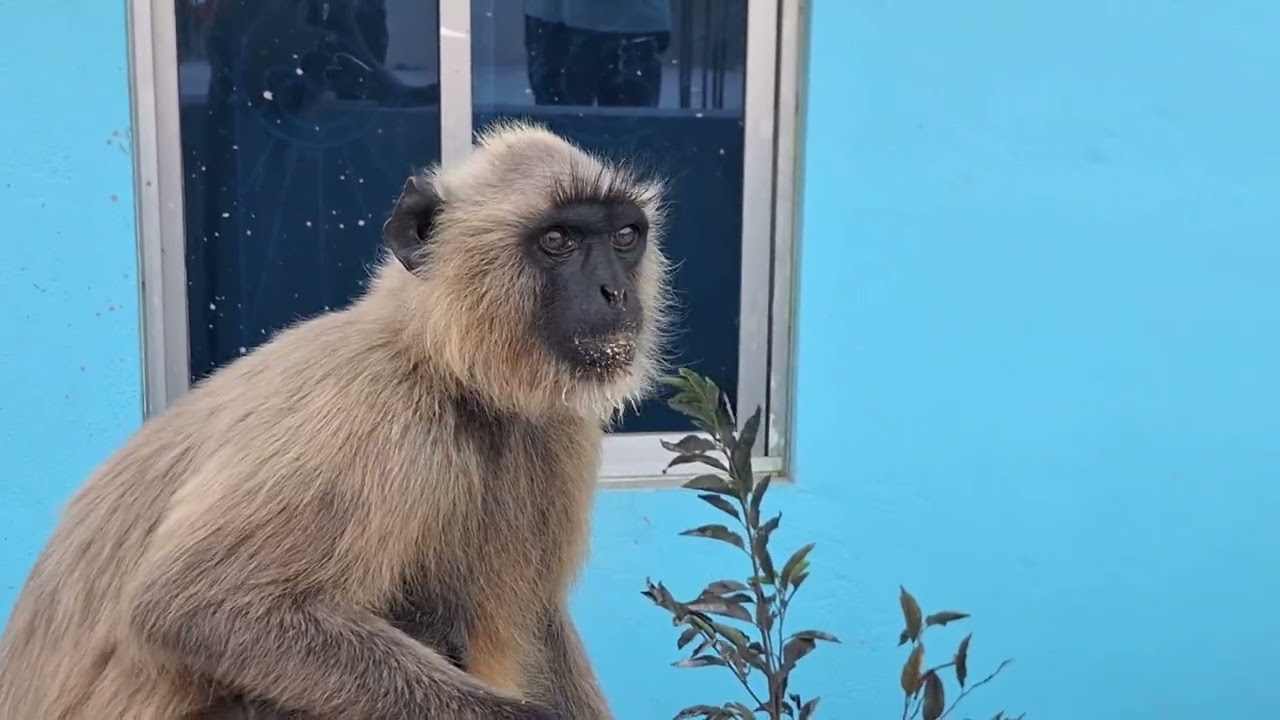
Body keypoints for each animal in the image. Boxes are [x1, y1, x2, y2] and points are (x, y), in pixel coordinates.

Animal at [0, 119, 673, 719]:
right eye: (558, 241)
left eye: (624, 236)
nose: (615, 291)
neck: (442, 365)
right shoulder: (369, 404)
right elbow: (191, 605)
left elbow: (537, 625)